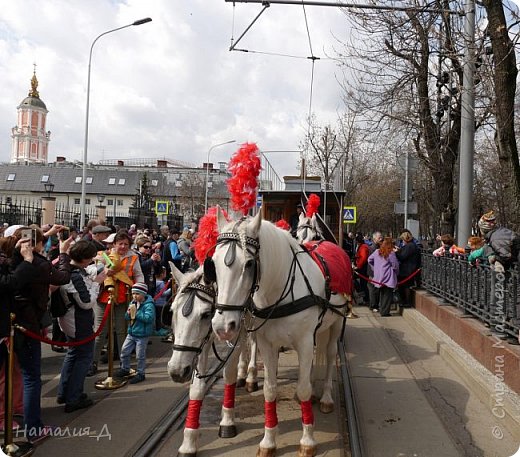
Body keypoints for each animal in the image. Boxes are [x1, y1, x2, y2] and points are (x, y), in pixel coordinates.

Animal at [167, 262, 258, 454]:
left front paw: (227, 421)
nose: (177, 371)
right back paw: (242, 374)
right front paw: (188, 443)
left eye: (205, 314)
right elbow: (196, 387)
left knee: (253, 339)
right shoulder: (202, 344)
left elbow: (228, 375)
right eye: (172, 311)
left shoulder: (234, 333)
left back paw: (251, 377)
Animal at [206, 208, 350, 456]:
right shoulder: (268, 344)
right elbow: (270, 390)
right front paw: (268, 441)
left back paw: (326, 398)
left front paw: (307, 441)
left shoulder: (304, 342)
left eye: (250, 264)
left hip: (336, 323)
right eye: (213, 264)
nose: (222, 326)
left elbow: (303, 388)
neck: (281, 289)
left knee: (330, 355)